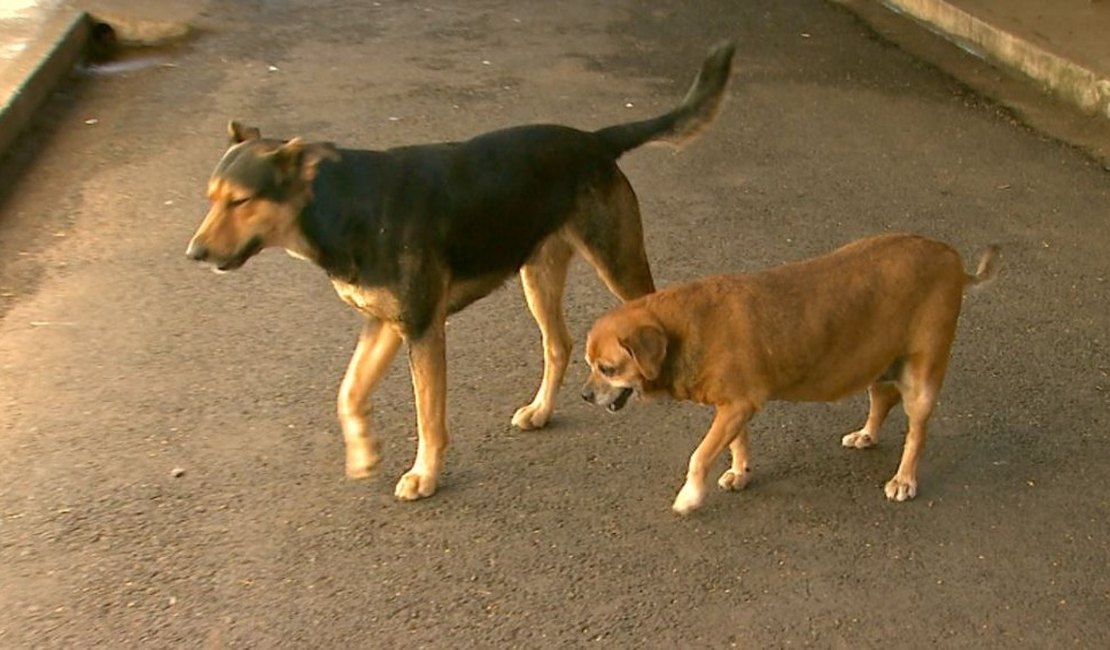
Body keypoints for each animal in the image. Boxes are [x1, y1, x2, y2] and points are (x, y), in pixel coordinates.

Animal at [185, 41, 732, 496]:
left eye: (241, 200)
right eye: (211, 198)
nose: (194, 253)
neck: (345, 206)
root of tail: (594, 140)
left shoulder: (424, 329)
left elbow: (428, 416)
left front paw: (424, 475)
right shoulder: (386, 322)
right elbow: (349, 391)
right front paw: (365, 453)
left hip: (616, 260)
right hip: (538, 272)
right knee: (559, 343)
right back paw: (540, 410)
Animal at [581, 231, 999, 510]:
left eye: (608, 368)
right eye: (589, 365)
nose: (584, 395)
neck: (683, 328)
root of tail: (952, 258)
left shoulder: (737, 406)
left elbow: (700, 455)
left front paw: (690, 496)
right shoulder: (732, 407)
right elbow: (737, 443)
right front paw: (740, 471)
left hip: (922, 379)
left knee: (917, 433)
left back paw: (904, 479)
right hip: (875, 363)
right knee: (882, 399)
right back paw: (867, 435)